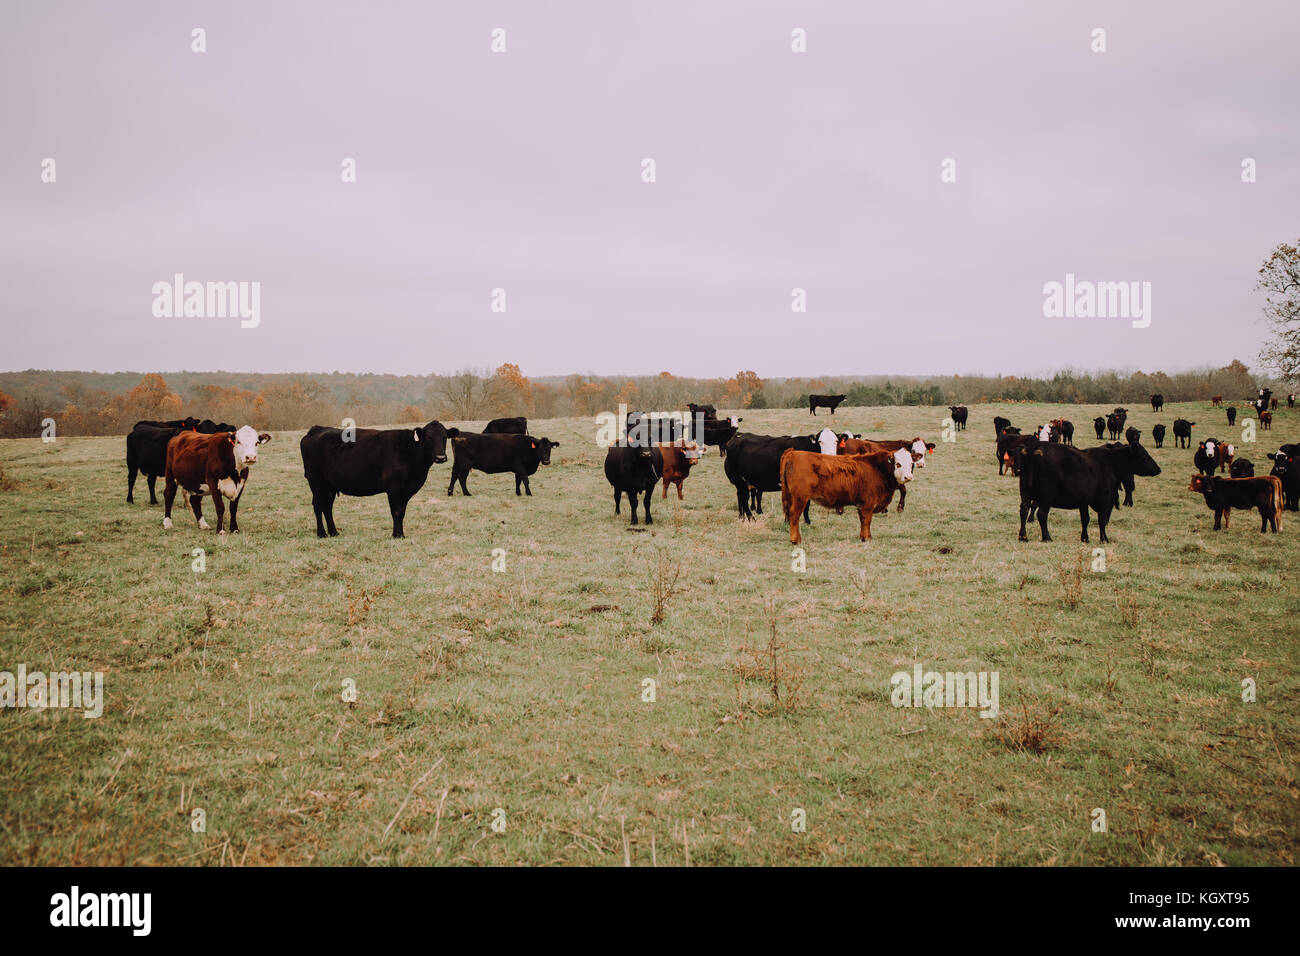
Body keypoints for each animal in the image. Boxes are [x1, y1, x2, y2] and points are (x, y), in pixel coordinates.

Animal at [299, 418, 457, 538]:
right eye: (429, 437)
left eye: (444, 438)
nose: (441, 457)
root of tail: (316, 429)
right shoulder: (393, 488)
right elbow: (396, 512)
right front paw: (396, 535)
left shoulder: (407, 491)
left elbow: (402, 512)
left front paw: (401, 534)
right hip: (316, 482)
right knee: (318, 506)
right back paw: (321, 534)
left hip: (329, 486)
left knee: (327, 506)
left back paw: (334, 532)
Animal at [780, 447, 915, 546]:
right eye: (898, 464)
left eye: (911, 464)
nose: (908, 477)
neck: (877, 468)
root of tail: (792, 453)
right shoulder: (868, 504)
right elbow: (867, 520)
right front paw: (868, 538)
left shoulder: (862, 504)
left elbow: (862, 520)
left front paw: (863, 537)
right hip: (800, 498)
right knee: (794, 515)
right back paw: (796, 540)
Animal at [1013, 439, 1159, 541]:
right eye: (1144, 456)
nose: (1158, 469)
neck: (1110, 463)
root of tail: (1034, 447)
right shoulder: (1105, 500)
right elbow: (1102, 520)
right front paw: (1104, 539)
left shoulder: (1083, 502)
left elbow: (1085, 519)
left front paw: (1085, 538)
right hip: (1046, 496)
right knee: (1042, 515)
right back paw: (1047, 537)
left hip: (1025, 492)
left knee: (1024, 511)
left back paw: (1023, 537)